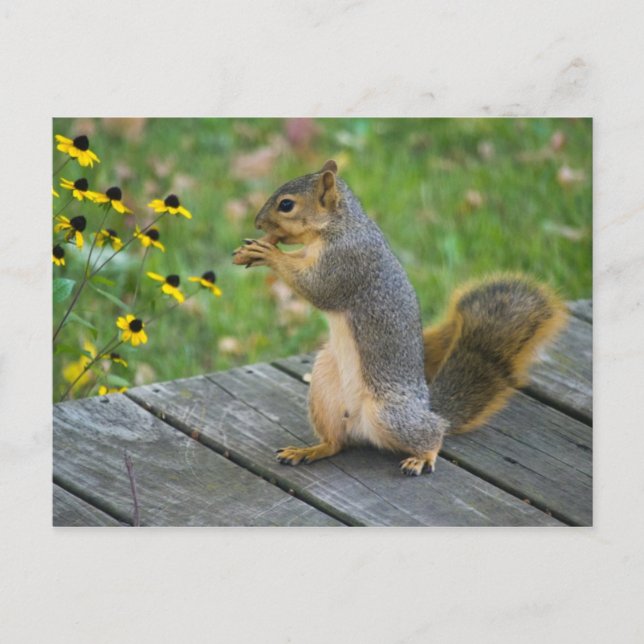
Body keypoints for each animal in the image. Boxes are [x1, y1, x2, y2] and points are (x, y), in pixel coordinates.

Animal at [232, 160, 567, 476]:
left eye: (286, 205)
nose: (257, 222)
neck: (339, 226)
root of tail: (427, 408)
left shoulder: (347, 261)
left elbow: (318, 288)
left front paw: (268, 253)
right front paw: (253, 251)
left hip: (390, 413)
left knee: (433, 433)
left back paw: (423, 456)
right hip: (324, 389)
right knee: (336, 443)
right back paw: (310, 450)